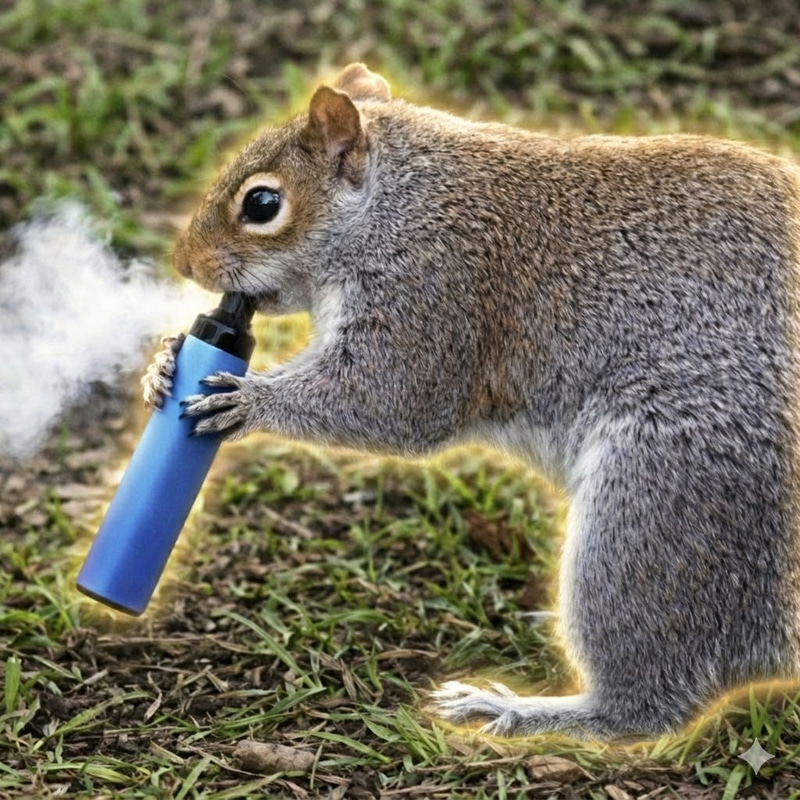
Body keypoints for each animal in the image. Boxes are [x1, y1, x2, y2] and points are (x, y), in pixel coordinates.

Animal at [147, 63, 800, 741]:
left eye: (262, 204)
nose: (183, 263)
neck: (396, 200)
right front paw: (162, 365)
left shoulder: (435, 287)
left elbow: (390, 400)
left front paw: (251, 401)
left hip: (660, 502)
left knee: (647, 705)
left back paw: (518, 709)